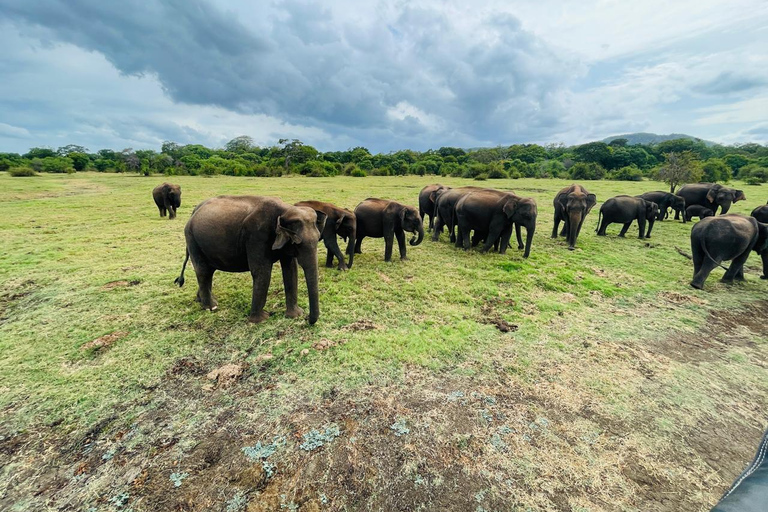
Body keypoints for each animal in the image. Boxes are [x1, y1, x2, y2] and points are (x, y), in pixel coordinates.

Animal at [174, 196, 326, 324]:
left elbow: (291, 270)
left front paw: (295, 315)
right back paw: (211, 307)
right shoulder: (256, 236)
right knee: (203, 271)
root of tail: (194, 211)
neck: (285, 210)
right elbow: (262, 272)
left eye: (318, 239)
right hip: (192, 238)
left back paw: (201, 300)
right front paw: (261, 320)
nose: (307, 319)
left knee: (208, 272)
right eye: (297, 243)